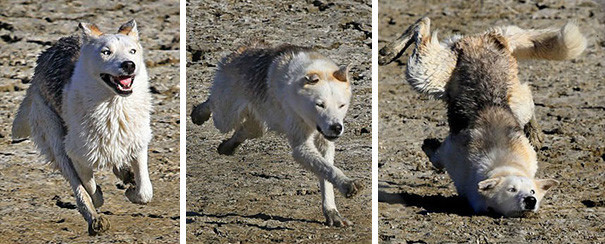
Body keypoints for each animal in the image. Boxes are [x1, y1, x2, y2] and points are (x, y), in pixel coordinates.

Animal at [192, 41, 364, 227]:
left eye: (341, 105)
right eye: (320, 105)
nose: (336, 127)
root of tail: (241, 49)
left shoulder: (325, 143)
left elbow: (326, 174)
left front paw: (332, 212)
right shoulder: (301, 147)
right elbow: (327, 168)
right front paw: (347, 185)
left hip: (257, 128)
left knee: (241, 132)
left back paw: (227, 147)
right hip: (226, 118)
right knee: (212, 103)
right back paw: (198, 114)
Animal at [378, 16, 584, 215]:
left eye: (532, 191)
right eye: (511, 190)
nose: (530, 200)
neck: (504, 162)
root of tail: (492, 38)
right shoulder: (451, 151)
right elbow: (436, 158)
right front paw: (428, 145)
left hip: (512, 99)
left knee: (527, 96)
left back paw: (535, 132)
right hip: (426, 73)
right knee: (422, 26)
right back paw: (389, 51)